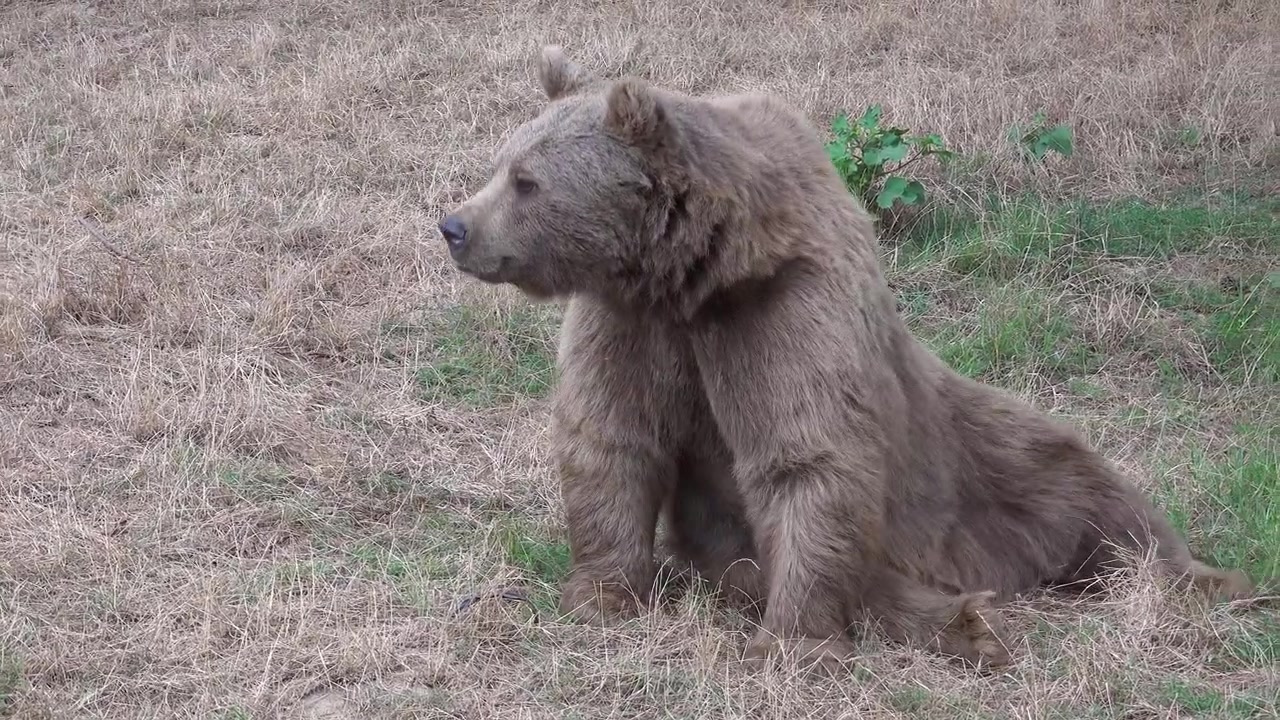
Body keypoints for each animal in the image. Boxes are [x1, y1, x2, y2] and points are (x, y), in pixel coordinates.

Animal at [438, 45, 1256, 674]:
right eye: (502, 162)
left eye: (527, 181)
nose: (454, 225)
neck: (695, 275)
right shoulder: (634, 324)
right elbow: (614, 441)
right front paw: (602, 593)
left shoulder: (784, 314)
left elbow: (811, 461)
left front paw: (788, 644)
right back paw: (968, 619)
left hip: (981, 452)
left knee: (1091, 499)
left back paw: (1196, 580)